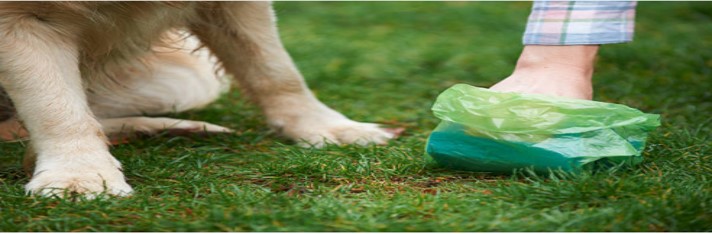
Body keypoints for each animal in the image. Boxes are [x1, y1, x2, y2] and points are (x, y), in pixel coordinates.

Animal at [0, 2, 394, 198]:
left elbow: (275, 69)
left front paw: (328, 128)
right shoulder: (18, 20)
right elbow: (57, 108)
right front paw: (79, 174)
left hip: (188, 76)